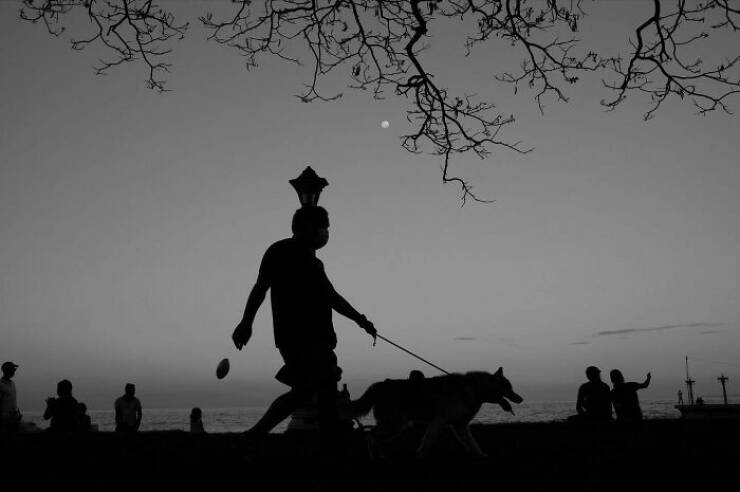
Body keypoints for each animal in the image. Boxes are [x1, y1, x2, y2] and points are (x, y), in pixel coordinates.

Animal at [350, 367, 522, 457]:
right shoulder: (439, 421)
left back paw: (380, 453)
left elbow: (473, 443)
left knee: (372, 435)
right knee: (371, 435)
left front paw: (480, 455)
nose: (521, 399)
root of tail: (377, 385)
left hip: (395, 425)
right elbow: (427, 442)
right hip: (394, 425)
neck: (474, 389)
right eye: (509, 388)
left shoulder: (460, 425)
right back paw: (375, 455)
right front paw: (420, 455)